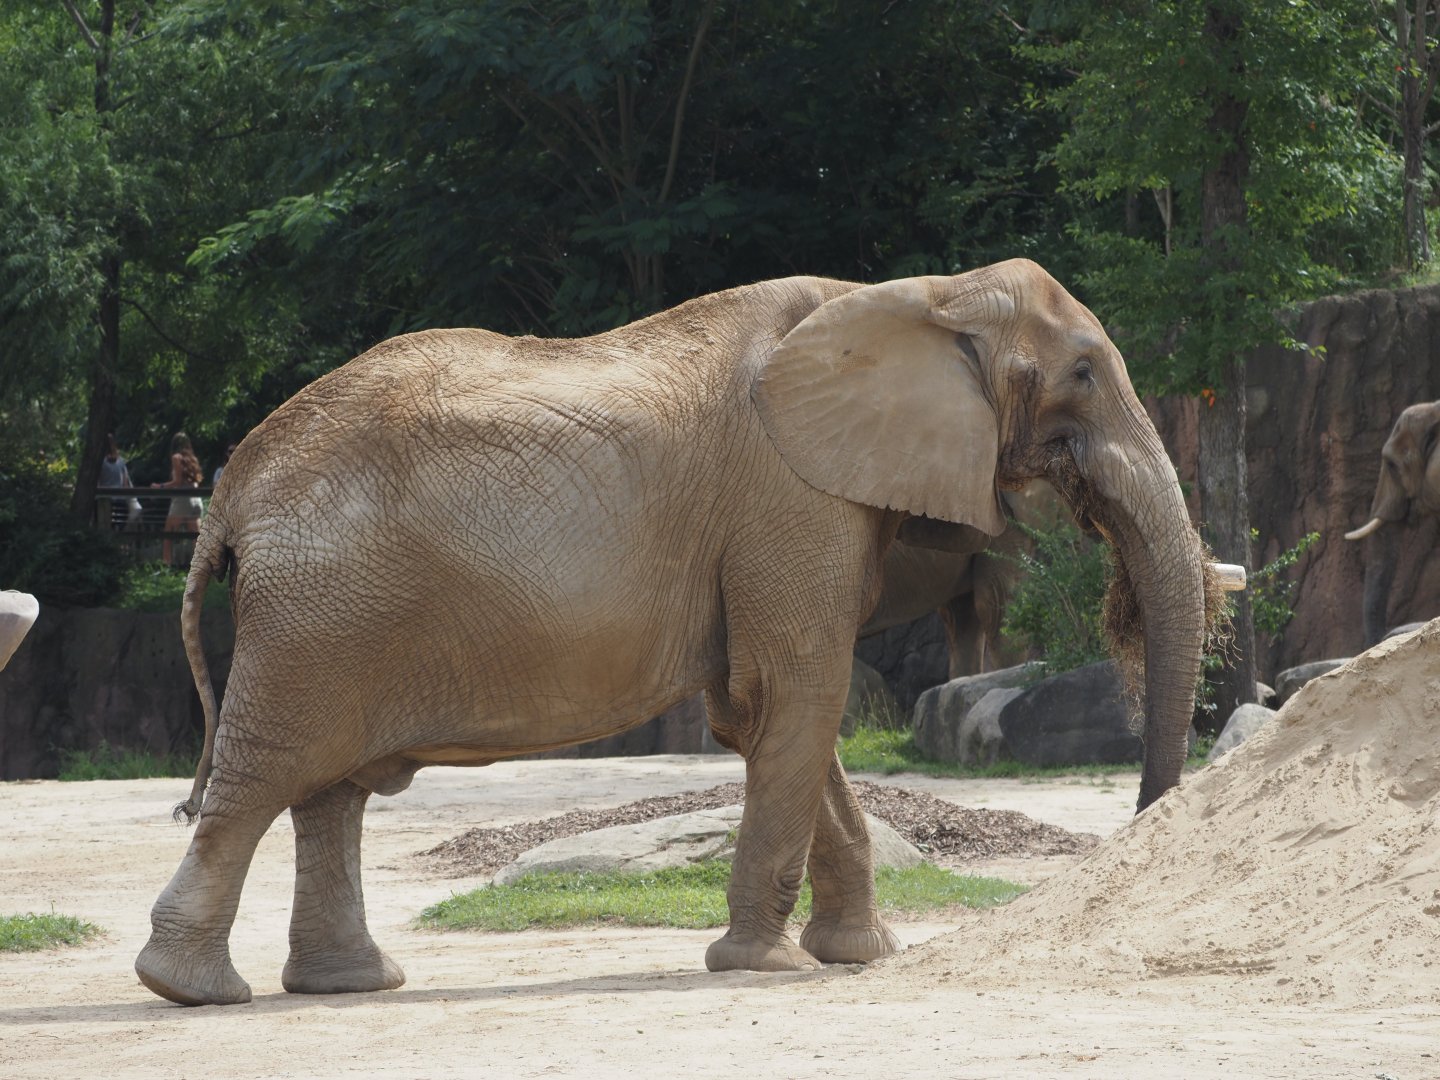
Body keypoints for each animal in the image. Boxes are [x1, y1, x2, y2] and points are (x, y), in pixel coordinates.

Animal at [136, 259, 1218, 1007]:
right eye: (1084, 373)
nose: (1140, 820)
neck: (924, 294)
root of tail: (232, 486)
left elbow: (764, 716)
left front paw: (858, 957)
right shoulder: (793, 497)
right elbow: (799, 694)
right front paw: (768, 968)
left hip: (335, 614)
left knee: (332, 793)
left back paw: (353, 983)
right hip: (317, 614)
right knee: (266, 778)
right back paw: (189, 990)